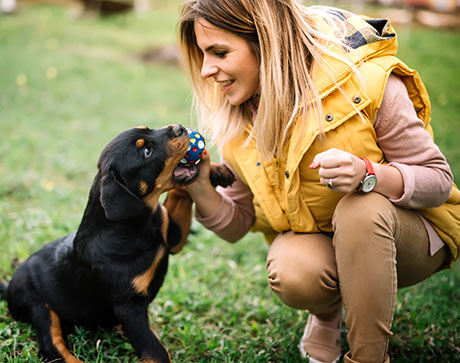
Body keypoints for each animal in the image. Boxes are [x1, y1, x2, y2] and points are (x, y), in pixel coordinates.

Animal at [0, 123, 235, 362]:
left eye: (148, 128)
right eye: (146, 151)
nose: (178, 127)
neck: (136, 226)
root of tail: (8, 288)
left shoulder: (171, 237)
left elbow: (181, 193)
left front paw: (215, 171)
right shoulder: (129, 307)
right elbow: (156, 351)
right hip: (38, 305)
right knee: (52, 346)